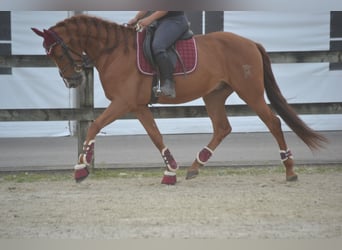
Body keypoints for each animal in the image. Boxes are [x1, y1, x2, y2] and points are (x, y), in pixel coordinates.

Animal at [31, 14, 326, 185]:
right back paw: (195, 166)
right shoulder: (138, 106)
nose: (72, 81)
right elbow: (155, 136)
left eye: (56, 52)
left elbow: (94, 125)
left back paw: (290, 170)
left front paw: (81, 167)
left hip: (249, 91)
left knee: (273, 122)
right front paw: (171, 171)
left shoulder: (124, 103)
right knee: (222, 128)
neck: (114, 51)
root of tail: (250, 42)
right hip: (214, 94)